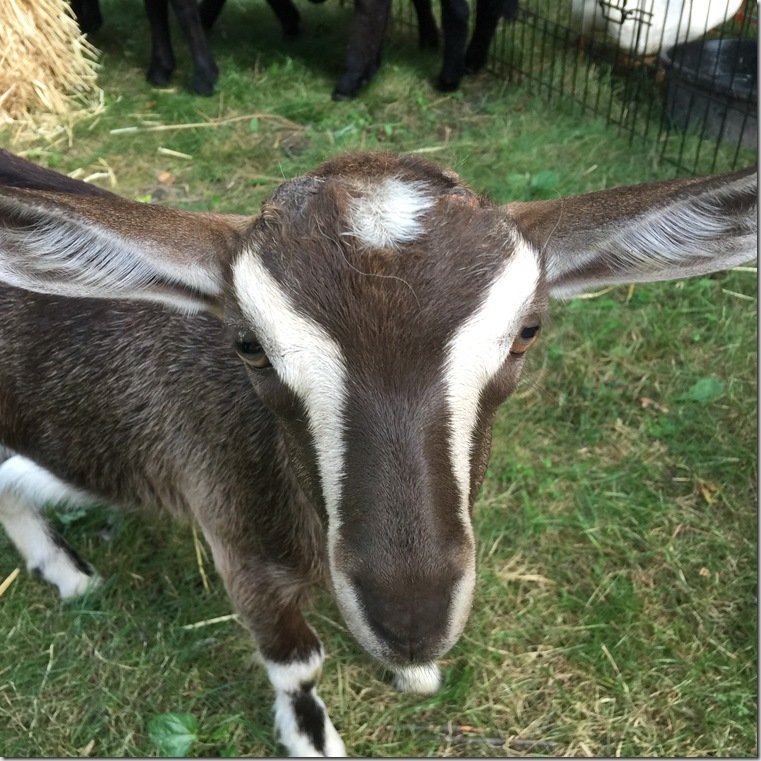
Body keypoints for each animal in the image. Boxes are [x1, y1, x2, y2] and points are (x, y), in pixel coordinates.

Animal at [0, 148, 755, 755]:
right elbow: (297, 662)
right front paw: (312, 738)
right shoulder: (236, 534)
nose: (411, 617)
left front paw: (413, 671)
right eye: (249, 344)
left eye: (527, 331)